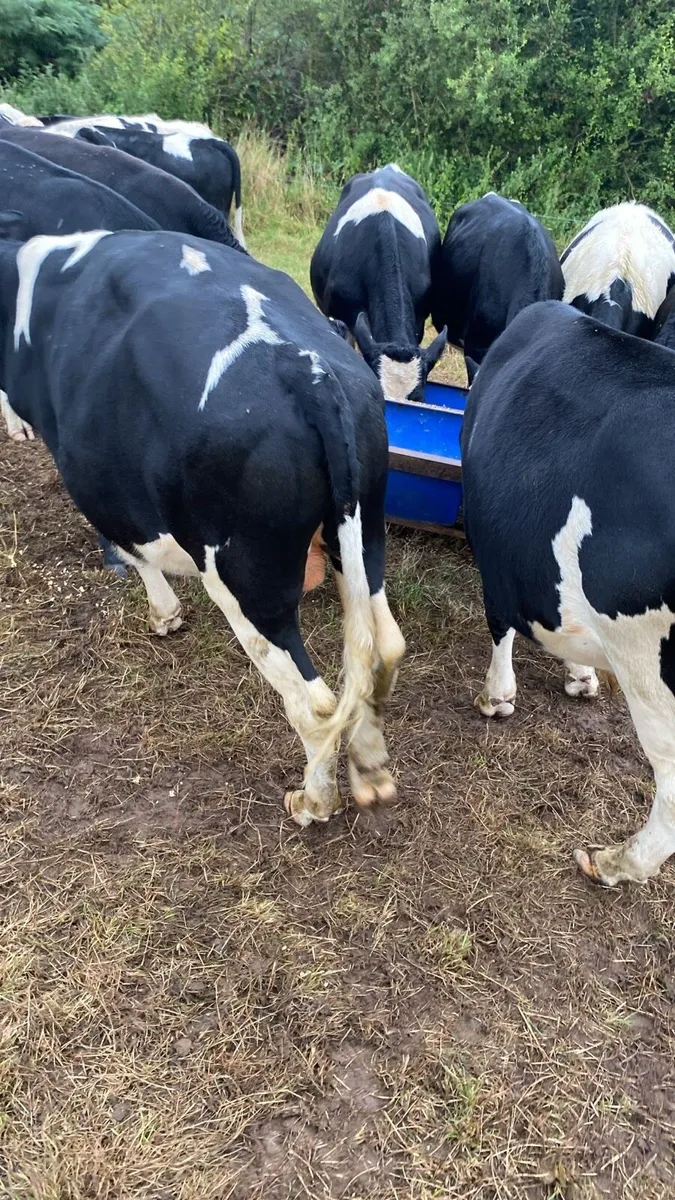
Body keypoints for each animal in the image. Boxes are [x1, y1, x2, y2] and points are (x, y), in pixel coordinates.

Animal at [0, 227, 406, 823]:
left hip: (245, 577)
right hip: (364, 526)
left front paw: (163, 613)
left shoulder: (96, 470)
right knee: (381, 647)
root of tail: (306, 368)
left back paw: (313, 800)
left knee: (313, 700)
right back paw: (371, 770)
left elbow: (131, 544)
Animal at [461, 297, 675, 887]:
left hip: (649, 664)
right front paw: (580, 675)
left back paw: (616, 863)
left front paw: (496, 696)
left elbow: (500, 621)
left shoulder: (495, 546)